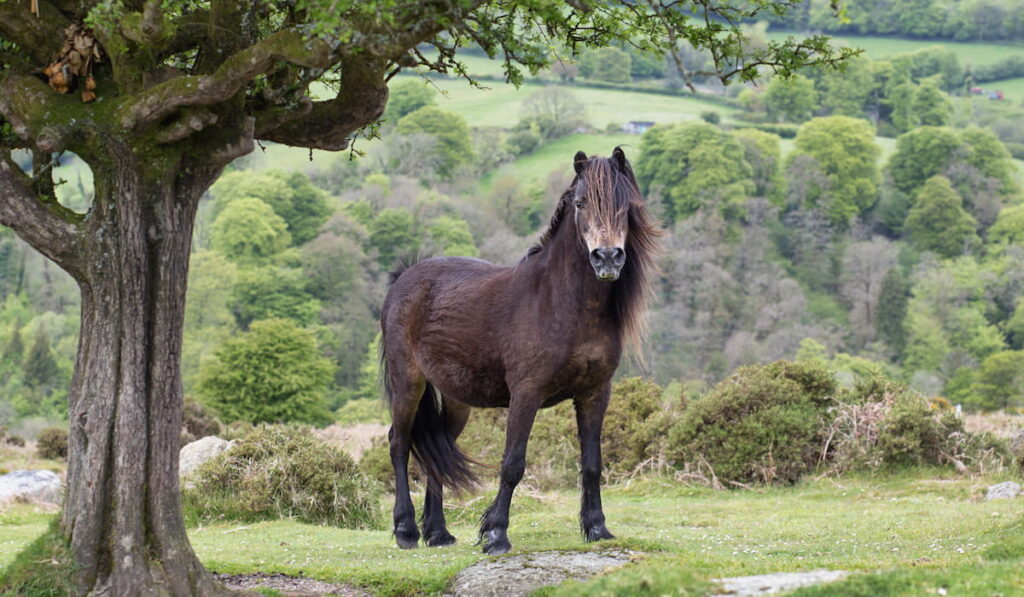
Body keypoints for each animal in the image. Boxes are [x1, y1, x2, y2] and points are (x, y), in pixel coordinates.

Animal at [380, 148, 659, 557]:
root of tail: (404, 277)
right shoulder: (526, 393)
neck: (559, 302)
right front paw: (495, 534)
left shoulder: (595, 393)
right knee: (399, 443)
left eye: (626, 206)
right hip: (407, 382)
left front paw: (597, 528)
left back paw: (439, 533)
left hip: (457, 400)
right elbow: (513, 463)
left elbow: (592, 462)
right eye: (580, 203)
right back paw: (405, 530)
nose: (607, 258)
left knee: (438, 450)